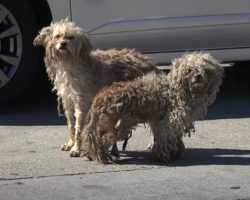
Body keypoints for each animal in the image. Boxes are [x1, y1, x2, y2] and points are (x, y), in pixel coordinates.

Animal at [33, 19, 159, 156]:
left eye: (71, 37)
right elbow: (71, 124)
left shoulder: (81, 101)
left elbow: (78, 126)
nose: (63, 44)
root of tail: (150, 63)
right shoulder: (68, 100)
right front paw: (70, 143)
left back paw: (154, 145)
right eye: (57, 36)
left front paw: (76, 148)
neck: (69, 63)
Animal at [80, 52, 225, 163]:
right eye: (189, 70)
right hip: (117, 126)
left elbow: (170, 138)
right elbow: (165, 138)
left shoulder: (161, 122)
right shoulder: (169, 122)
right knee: (101, 140)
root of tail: (99, 98)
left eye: (205, 70)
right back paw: (103, 156)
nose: (198, 76)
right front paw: (163, 156)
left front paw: (175, 151)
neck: (178, 90)